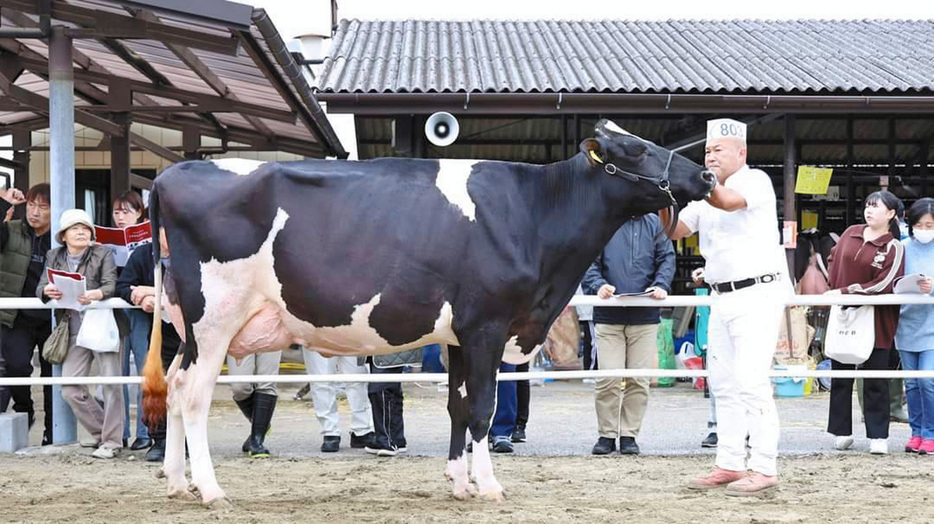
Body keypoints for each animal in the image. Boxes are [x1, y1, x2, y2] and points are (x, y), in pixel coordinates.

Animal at [143, 118, 716, 504]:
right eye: (638, 149)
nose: (708, 175)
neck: (534, 212)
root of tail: (172, 173)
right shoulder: (487, 326)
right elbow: (482, 408)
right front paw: (488, 485)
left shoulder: (460, 335)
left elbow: (458, 408)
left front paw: (459, 482)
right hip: (214, 318)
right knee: (194, 395)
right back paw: (210, 489)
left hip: (187, 326)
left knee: (174, 384)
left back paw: (175, 483)